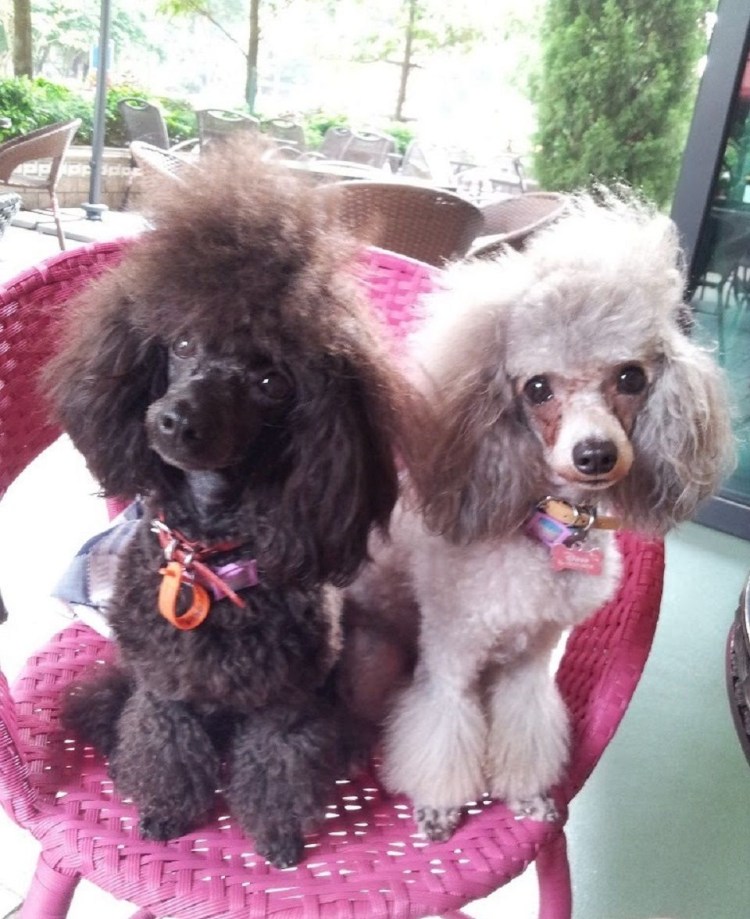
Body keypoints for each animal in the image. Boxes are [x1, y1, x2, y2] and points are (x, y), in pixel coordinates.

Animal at [45, 141, 414, 868]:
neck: (207, 554)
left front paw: (276, 837)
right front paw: (166, 810)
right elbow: (164, 745)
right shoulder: (165, 688)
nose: (171, 420)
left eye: (271, 381)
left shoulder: (285, 703)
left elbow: (276, 768)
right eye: (183, 344)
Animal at [338, 190, 735, 842]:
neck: (547, 530)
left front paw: (525, 797)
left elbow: (526, 731)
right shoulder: (452, 656)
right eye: (538, 389)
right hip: (379, 661)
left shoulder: (531, 662)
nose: (595, 454)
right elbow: (441, 731)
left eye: (631, 377)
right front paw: (439, 807)